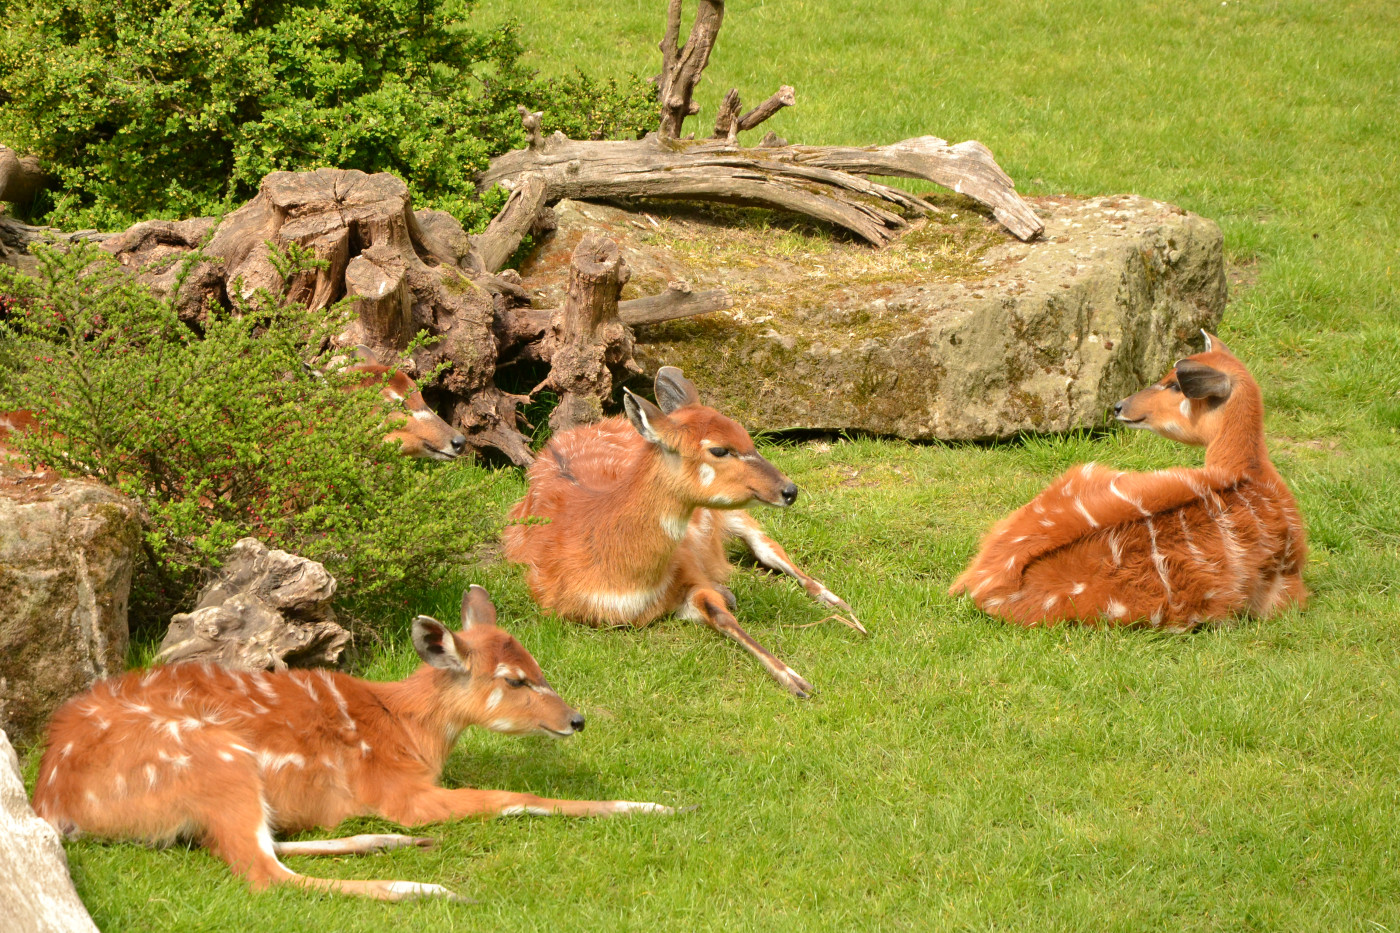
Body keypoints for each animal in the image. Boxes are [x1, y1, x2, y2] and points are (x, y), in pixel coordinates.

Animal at [28, 585, 672, 896]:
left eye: (537, 662)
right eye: (514, 680)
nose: (577, 720)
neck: (406, 729)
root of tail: (52, 800)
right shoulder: (400, 790)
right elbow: (512, 799)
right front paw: (653, 805)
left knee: (258, 846)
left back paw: (392, 844)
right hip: (212, 755)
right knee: (261, 872)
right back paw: (429, 888)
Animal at [498, 364, 856, 697]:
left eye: (747, 435)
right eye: (719, 449)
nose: (790, 490)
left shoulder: (687, 568)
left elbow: (722, 614)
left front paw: (797, 679)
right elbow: (719, 614)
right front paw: (796, 679)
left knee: (767, 545)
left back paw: (840, 604)